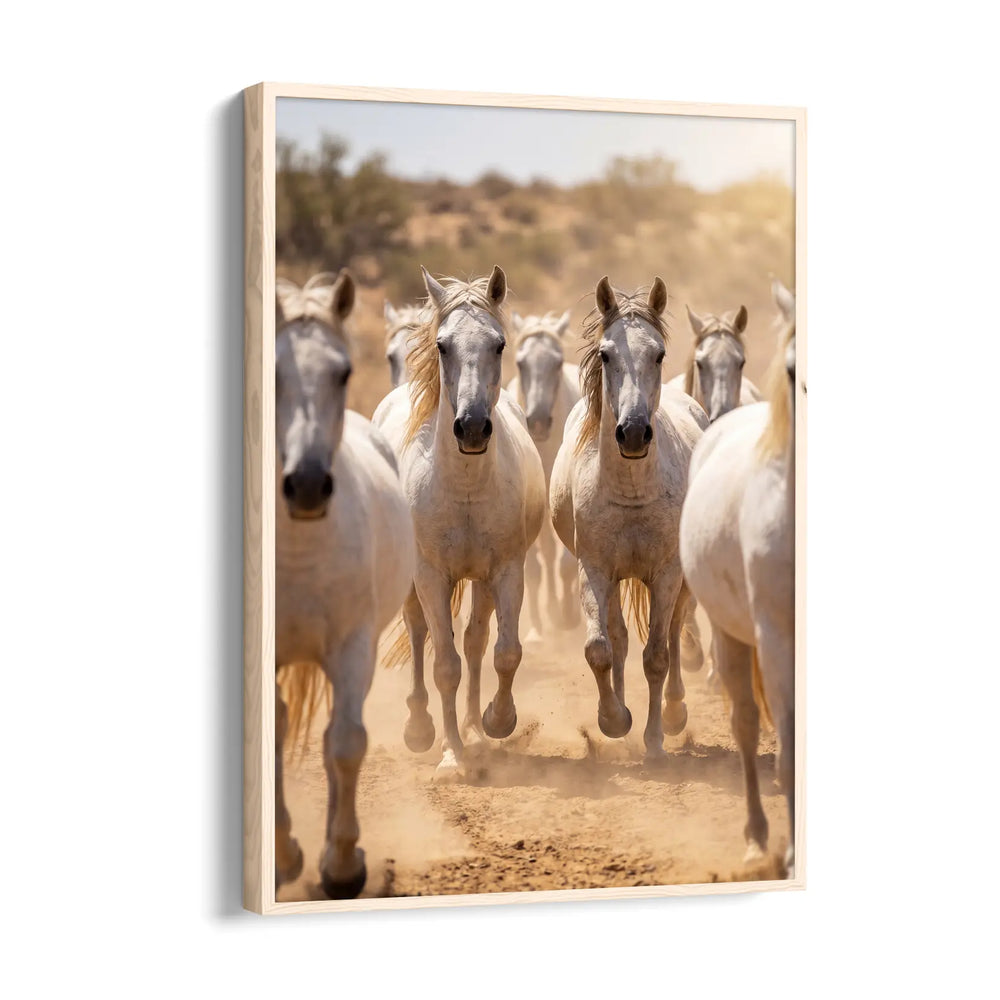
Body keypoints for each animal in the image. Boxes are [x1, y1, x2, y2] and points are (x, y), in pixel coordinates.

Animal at [373, 266, 546, 779]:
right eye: (443, 345)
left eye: (499, 344)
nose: (471, 427)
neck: (465, 486)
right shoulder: (430, 575)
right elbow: (443, 664)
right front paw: (451, 755)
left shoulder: (506, 570)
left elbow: (504, 652)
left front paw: (496, 721)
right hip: (417, 581)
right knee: (419, 634)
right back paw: (420, 728)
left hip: (480, 581)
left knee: (475, 641)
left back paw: (472, 726)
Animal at [550, 277, 707, 758]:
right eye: (605, 354)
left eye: (658, 353)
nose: (633, 433)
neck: (631, 491)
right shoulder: (595, 569)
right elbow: (600, 648)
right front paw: (614, 719)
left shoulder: (667, 573)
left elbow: (657, 655)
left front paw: (655, 738)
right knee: (618, 639)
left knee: (673, 633)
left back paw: (674, 714)